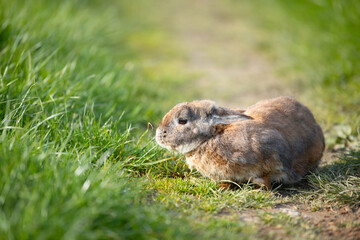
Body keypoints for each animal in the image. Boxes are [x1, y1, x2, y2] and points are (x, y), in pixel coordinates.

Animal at [156, 96, 324, 189]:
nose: (158, 135)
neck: (212, 136)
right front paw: (223, 187)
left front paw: (260, 187)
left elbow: (267, 177)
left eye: (182, 120)